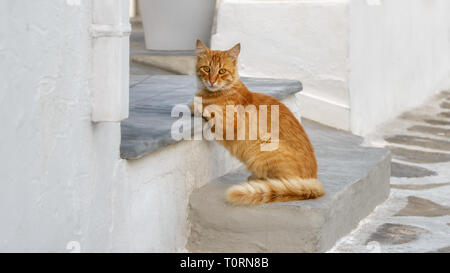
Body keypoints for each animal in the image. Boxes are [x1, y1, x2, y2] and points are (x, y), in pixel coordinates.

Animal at [192, 39, 326, 203]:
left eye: (222, 71)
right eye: (206, 69)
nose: (211, 81)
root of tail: (314, 181)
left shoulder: (229, 123)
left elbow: (206, 108)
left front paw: (199, 106)